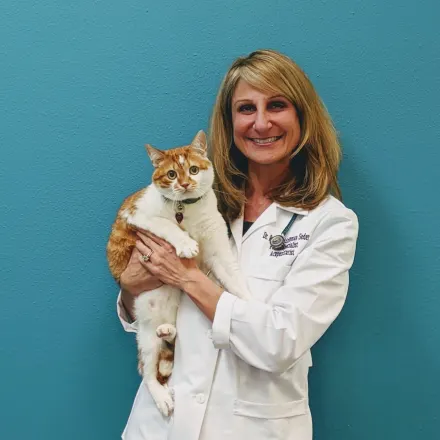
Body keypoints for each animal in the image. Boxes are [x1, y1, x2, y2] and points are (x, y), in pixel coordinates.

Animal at [106, 130, 249, 416]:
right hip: (146, 341)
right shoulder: (138, 216)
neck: (187, 209)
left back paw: (168, 331)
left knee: (168, 343)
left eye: (193, 170)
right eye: (171, 174)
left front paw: (253, 304)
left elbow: (236, 280)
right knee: (149, 372)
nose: (183, 184)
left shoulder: (218, 250)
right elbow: (168, 226)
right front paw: (185, 244)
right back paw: (162, 396)